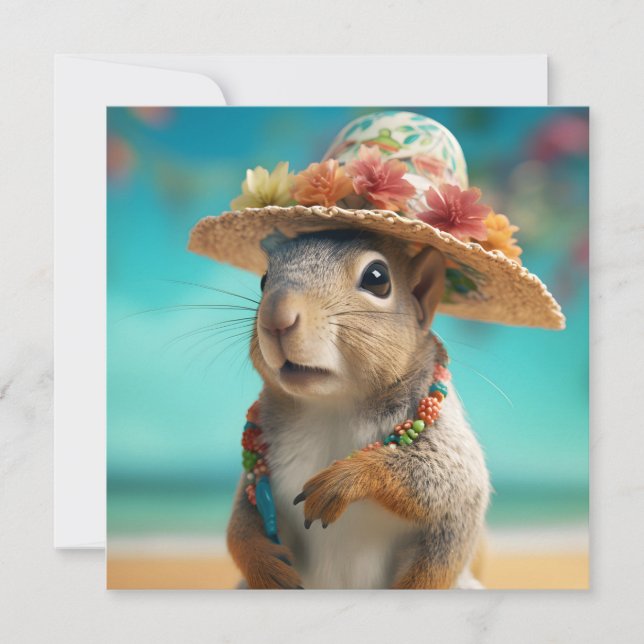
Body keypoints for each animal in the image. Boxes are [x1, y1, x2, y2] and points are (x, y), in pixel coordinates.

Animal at [226, 229, 490, 589]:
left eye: (377, 278)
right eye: (265, 279)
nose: (275, 317)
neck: (333, 409)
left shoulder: (452, 453)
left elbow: (447, 478)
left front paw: (347, 477)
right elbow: (241, 521)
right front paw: (265, 567)